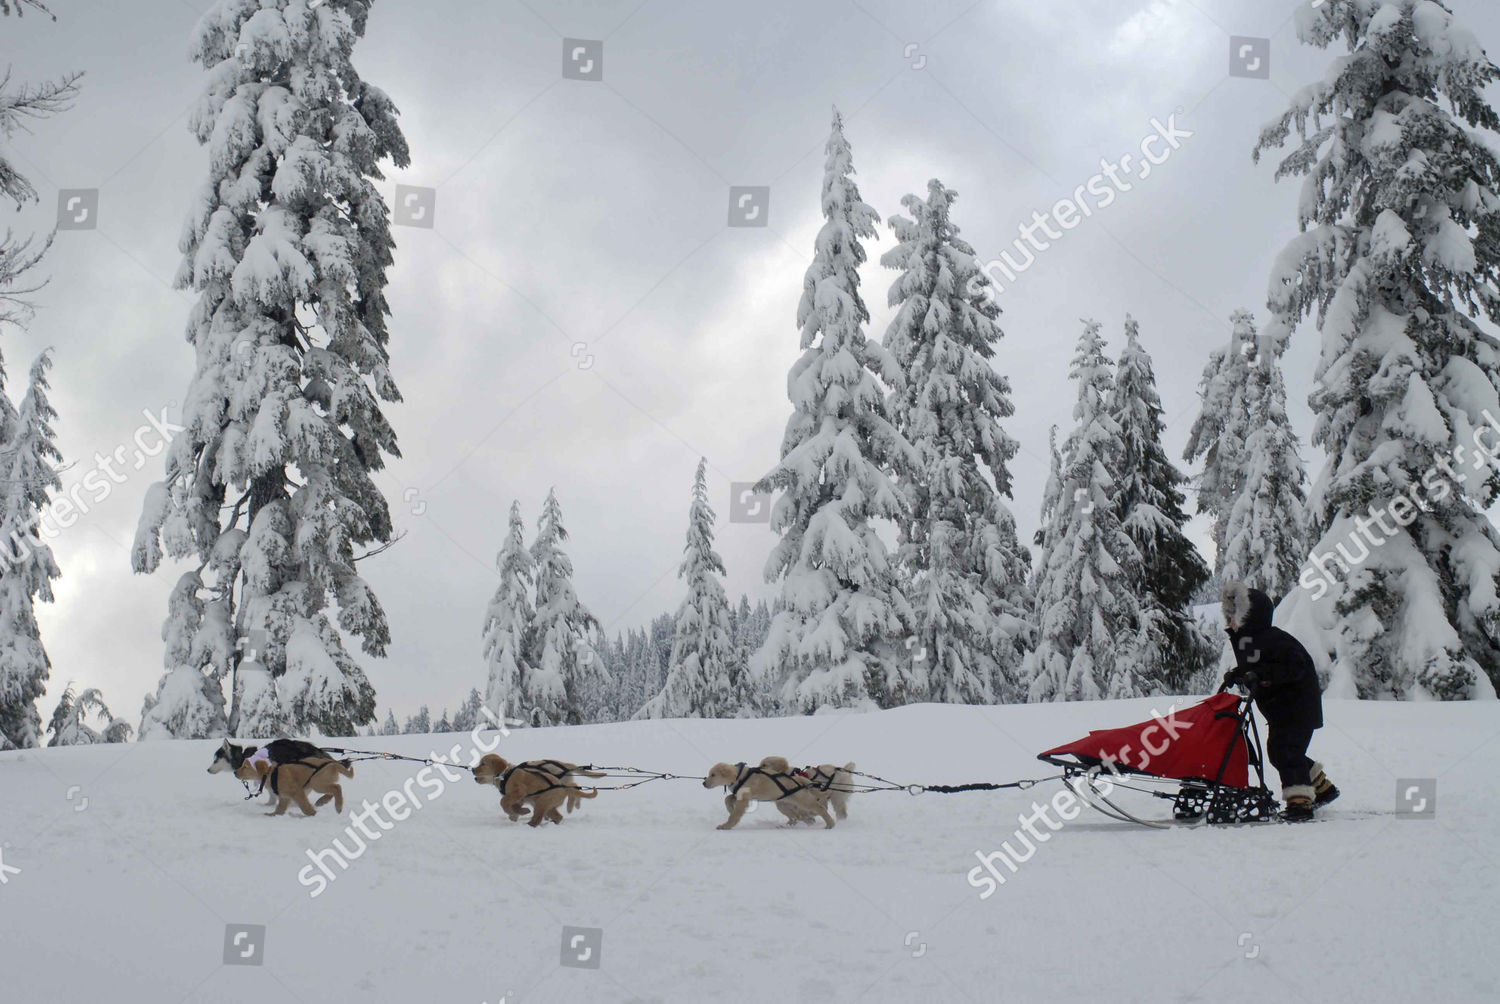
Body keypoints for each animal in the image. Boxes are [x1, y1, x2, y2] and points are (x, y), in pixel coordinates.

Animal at [699, 750, 834, 828]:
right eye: (710, 774)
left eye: (713, 775)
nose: (704, 783)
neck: (739, 776)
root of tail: (799, 781)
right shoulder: (739, 794)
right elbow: (727, 799)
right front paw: (730, 809)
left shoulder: (744, 799)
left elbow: (736, 813)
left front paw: (726, 825)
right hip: (783, 804)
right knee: (796, 815)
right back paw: (801, 822)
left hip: (802, 799)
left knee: (819, 808)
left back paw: (830, 823)